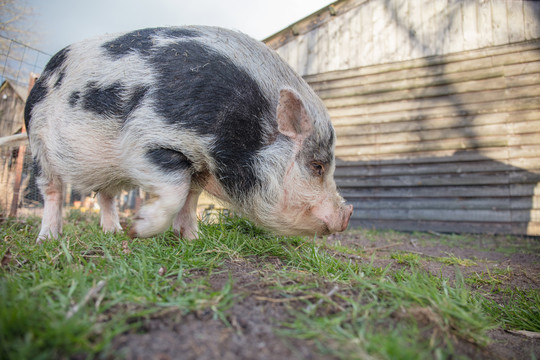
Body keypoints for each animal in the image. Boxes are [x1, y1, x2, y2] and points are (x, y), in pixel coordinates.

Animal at [24, 25, 354, 242]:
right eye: (317, 166)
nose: (347, 214)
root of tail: (43, 73)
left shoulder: (199, 165)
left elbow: (191, 199)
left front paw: (192, 239)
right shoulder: (145, 139)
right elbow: (175, 191)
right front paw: (138, 229)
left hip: (107, 171)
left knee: (106, 196)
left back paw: (113, 232)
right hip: (37, 143)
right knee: (52, 191)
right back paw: (49, 238)